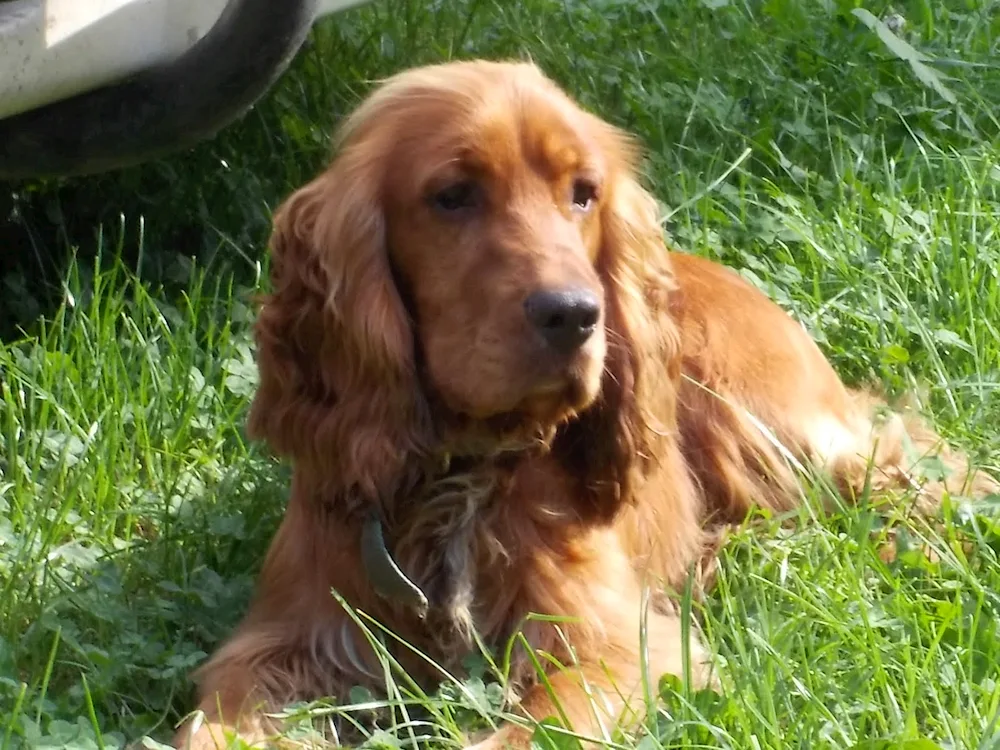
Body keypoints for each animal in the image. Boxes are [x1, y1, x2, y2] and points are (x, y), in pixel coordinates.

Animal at [174, 60, 1000, 750]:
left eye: (583, 193)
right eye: (452, 196)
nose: (575, 314)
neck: (462, 478)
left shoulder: (613, 647)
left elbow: (529, 730)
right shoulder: (282, 639)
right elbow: (216, 725)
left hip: (773, 423)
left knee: (908, 476)